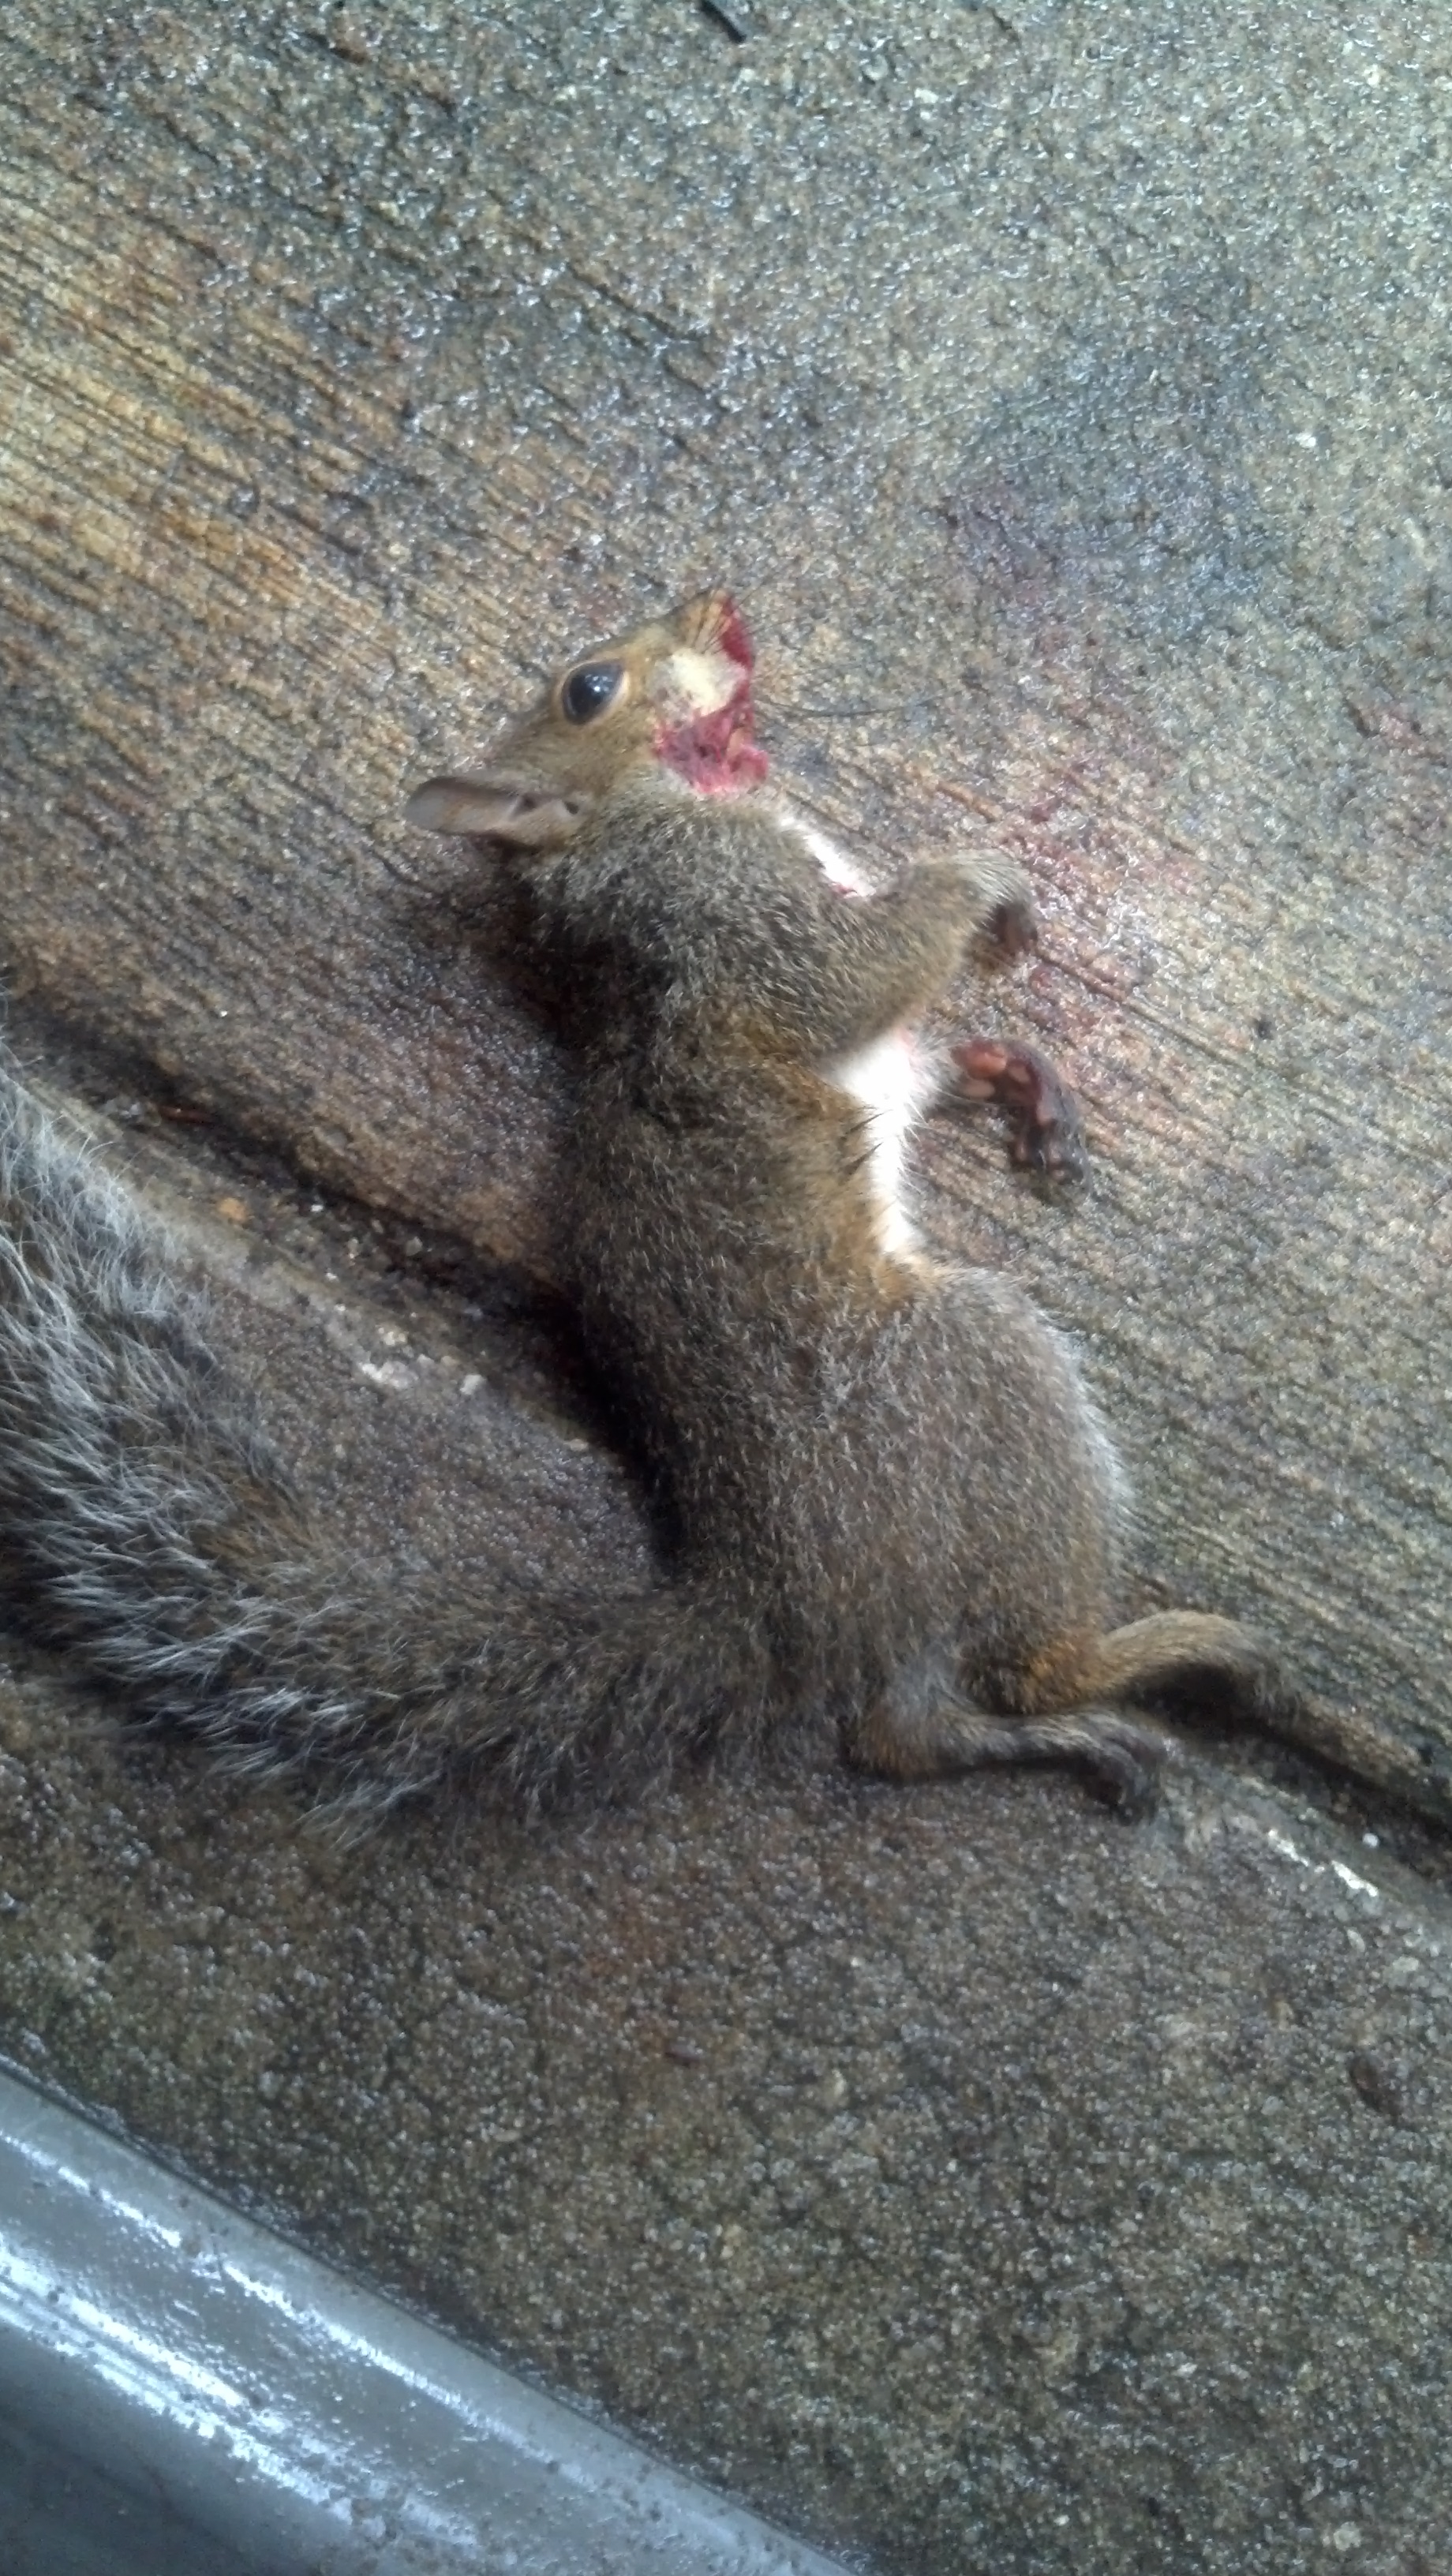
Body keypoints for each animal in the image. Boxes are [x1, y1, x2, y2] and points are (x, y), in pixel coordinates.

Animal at [0, 590, 1285, 1818]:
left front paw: (1024, 1082)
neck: (637, 822)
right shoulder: (732, 922)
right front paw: (979, 879)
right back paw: (1152, 1664)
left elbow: (924, 1054)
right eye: (588, 690)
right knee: (981, 1684)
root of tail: (779, 1603)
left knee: (906, 1731)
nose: (719, 604)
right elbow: (860, 972)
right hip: (974, 1376)